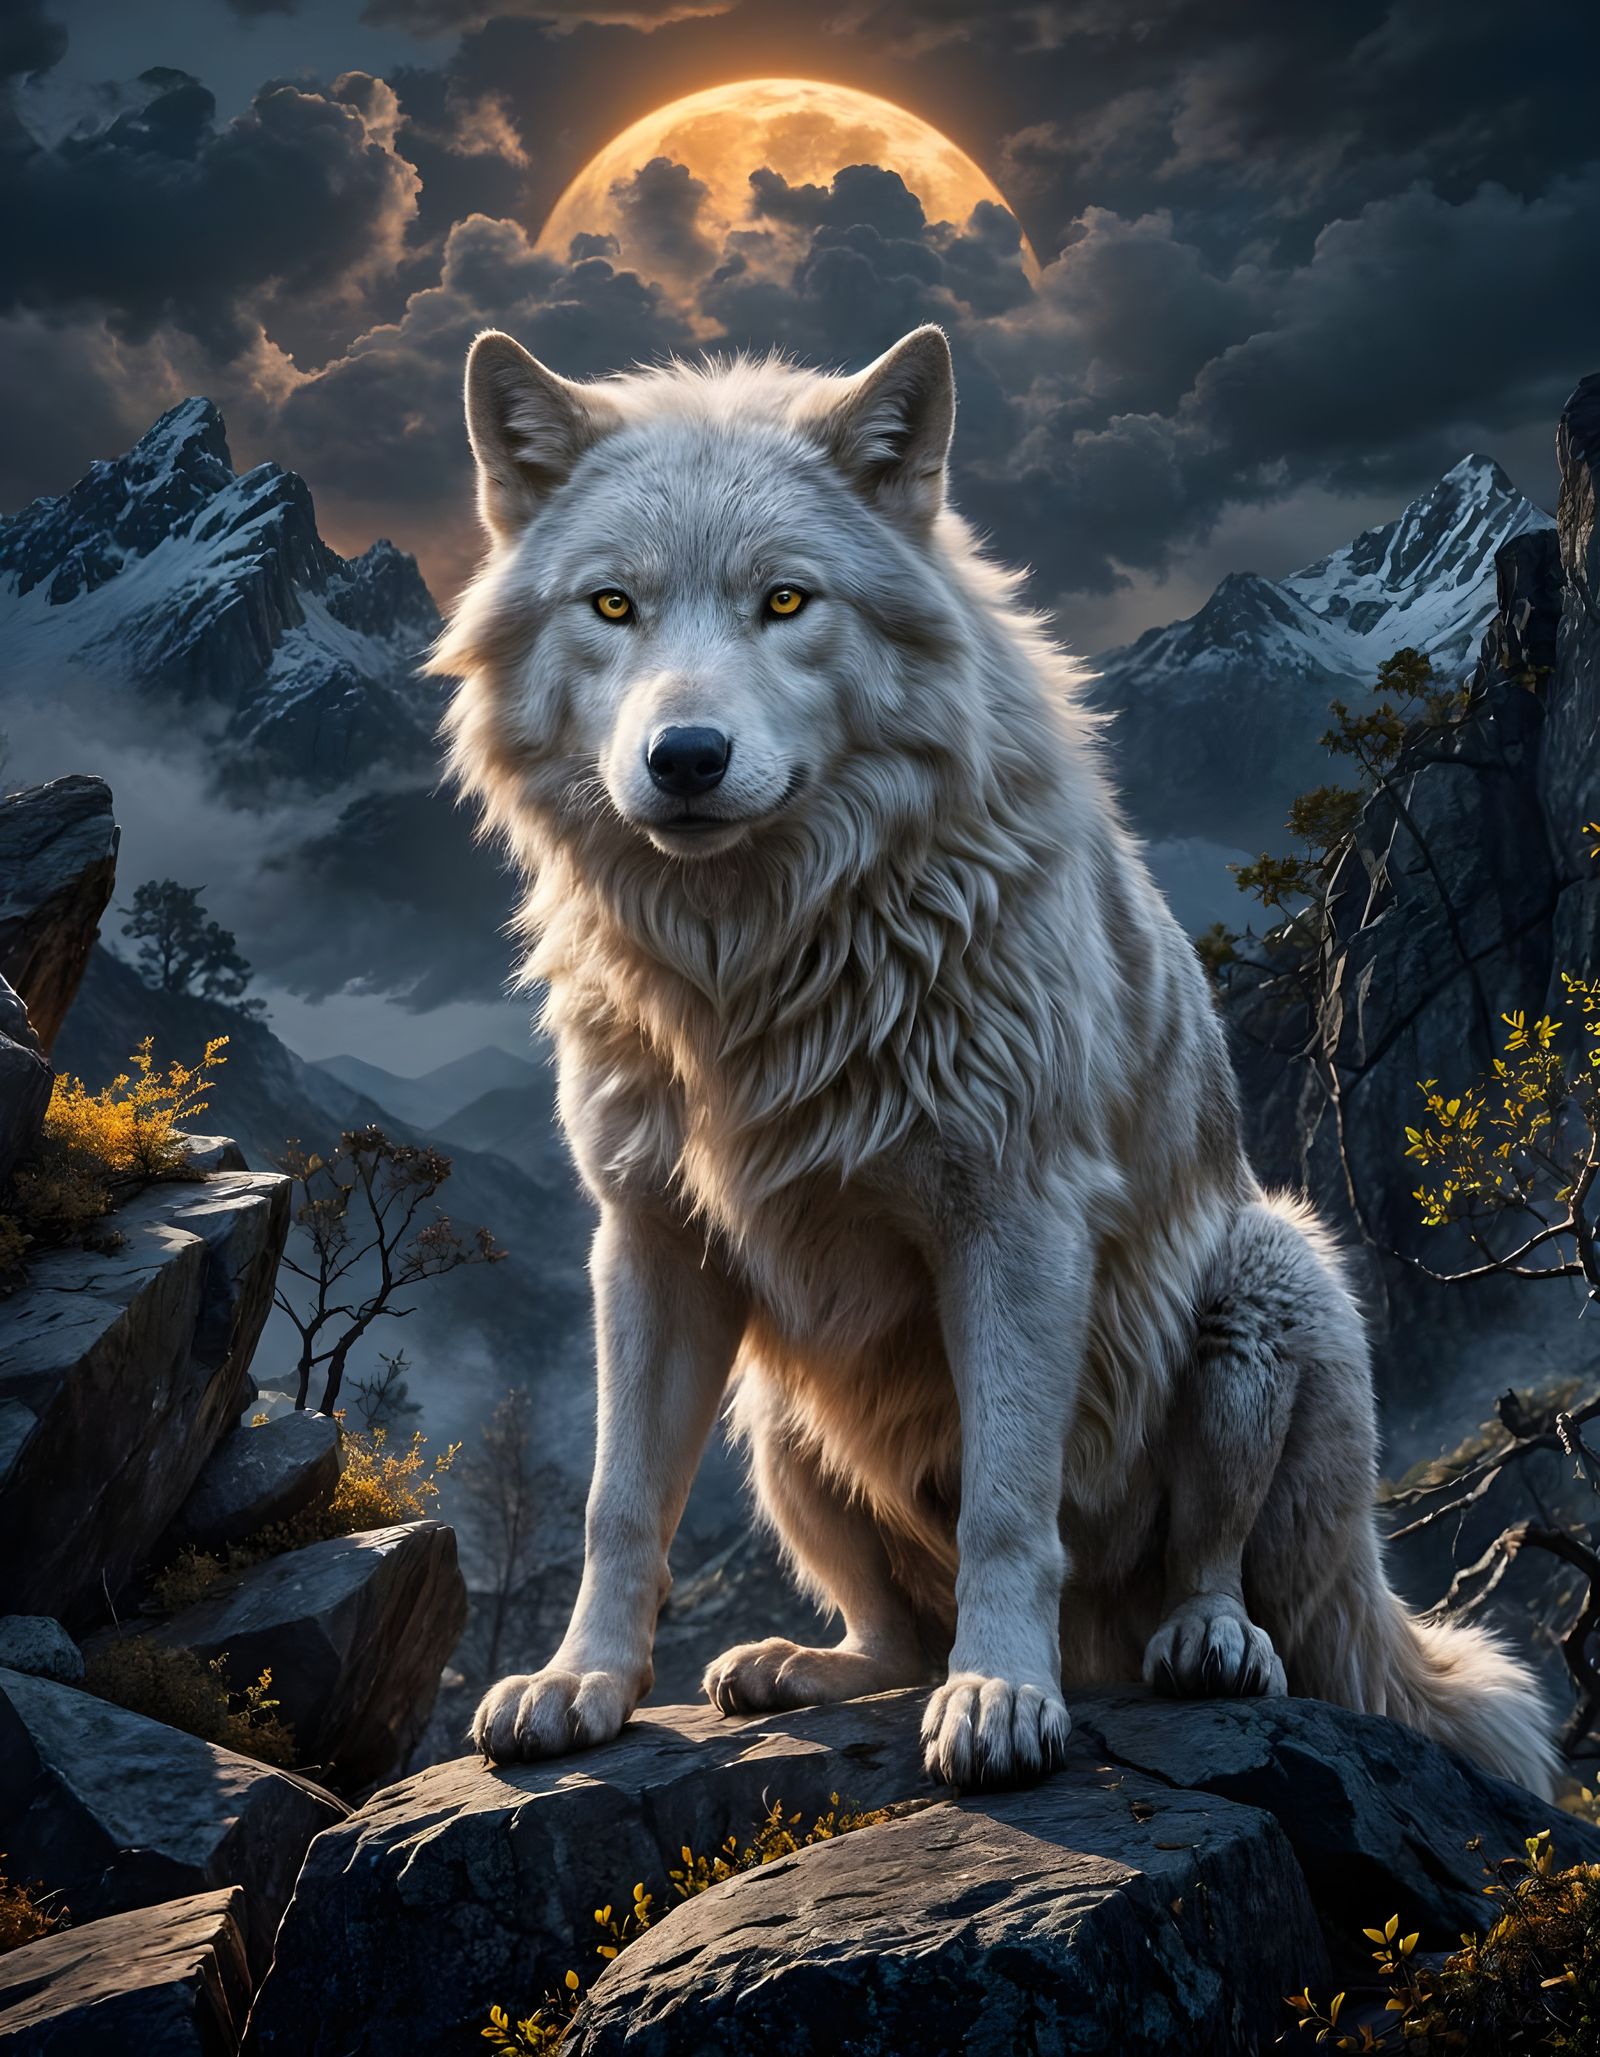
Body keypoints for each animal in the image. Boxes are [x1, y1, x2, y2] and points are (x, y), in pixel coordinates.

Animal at [436, 321, 1556, 1797]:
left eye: (785, 602)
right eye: (611, 606)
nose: (684, 757)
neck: (763, 958)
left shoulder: (1015, 1223)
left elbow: (1013, 1507)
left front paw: (1002, 1697)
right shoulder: (649, 1239)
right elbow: (619, 1502)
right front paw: (584, 1684)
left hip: (1272, 1284)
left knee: (1211, 1568)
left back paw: (1196, 1646)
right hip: (780, 1417)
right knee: (889, 1628)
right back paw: (806, 1666)